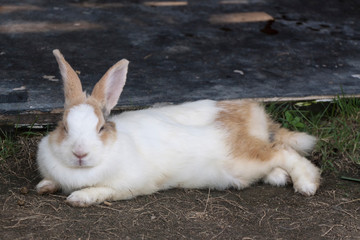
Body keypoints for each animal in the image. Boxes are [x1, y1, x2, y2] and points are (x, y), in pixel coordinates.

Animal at [36, 49, 320, 207]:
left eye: (101, 128)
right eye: (64, 126)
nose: (80, 154)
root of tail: (253, 115)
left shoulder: (127, 186)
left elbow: (101, 191)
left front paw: (78, 199)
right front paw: (44, 186)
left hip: (244, 158)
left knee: (284, 153)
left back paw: (306, 185)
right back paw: (279, 177)